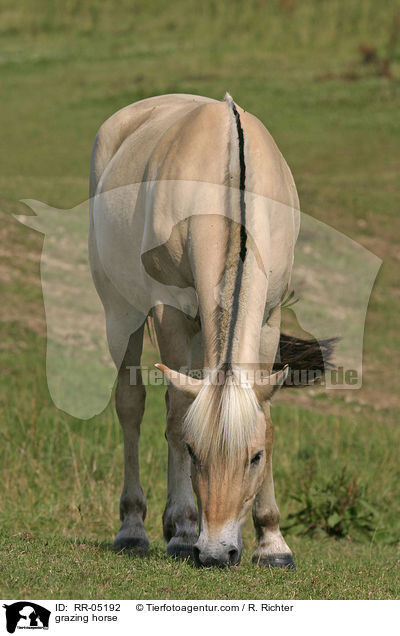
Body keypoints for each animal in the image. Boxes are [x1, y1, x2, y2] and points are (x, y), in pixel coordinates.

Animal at [89, 92, 330, 568]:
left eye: (255, 457)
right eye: (194, 452)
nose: (217, 552)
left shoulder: (268, 317)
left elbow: (262, 414)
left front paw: (272, 543)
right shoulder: (169, 312)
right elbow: (178, 419)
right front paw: (184, 531)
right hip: (121, 312)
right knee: (132, 406)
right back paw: (134, 528)